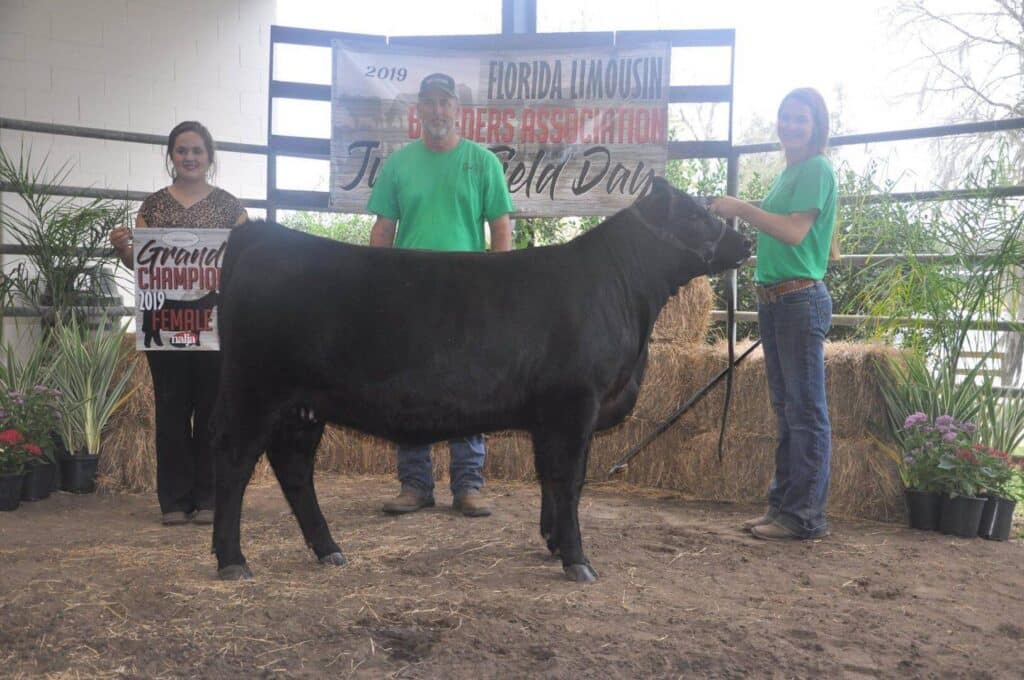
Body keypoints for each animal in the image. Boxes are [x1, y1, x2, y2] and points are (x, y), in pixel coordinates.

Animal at [211, 177, 751, 582]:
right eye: (696, 215)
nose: (745, 241)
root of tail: (262, 235)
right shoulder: (575, 403)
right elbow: (569, 480)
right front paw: (578, 560)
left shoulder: (552, 416)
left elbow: (552, 479)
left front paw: (554, 542)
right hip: (255, 392)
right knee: (234, 466)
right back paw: (232, 560)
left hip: (304, 406)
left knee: (294, 470)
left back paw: (328, 549)